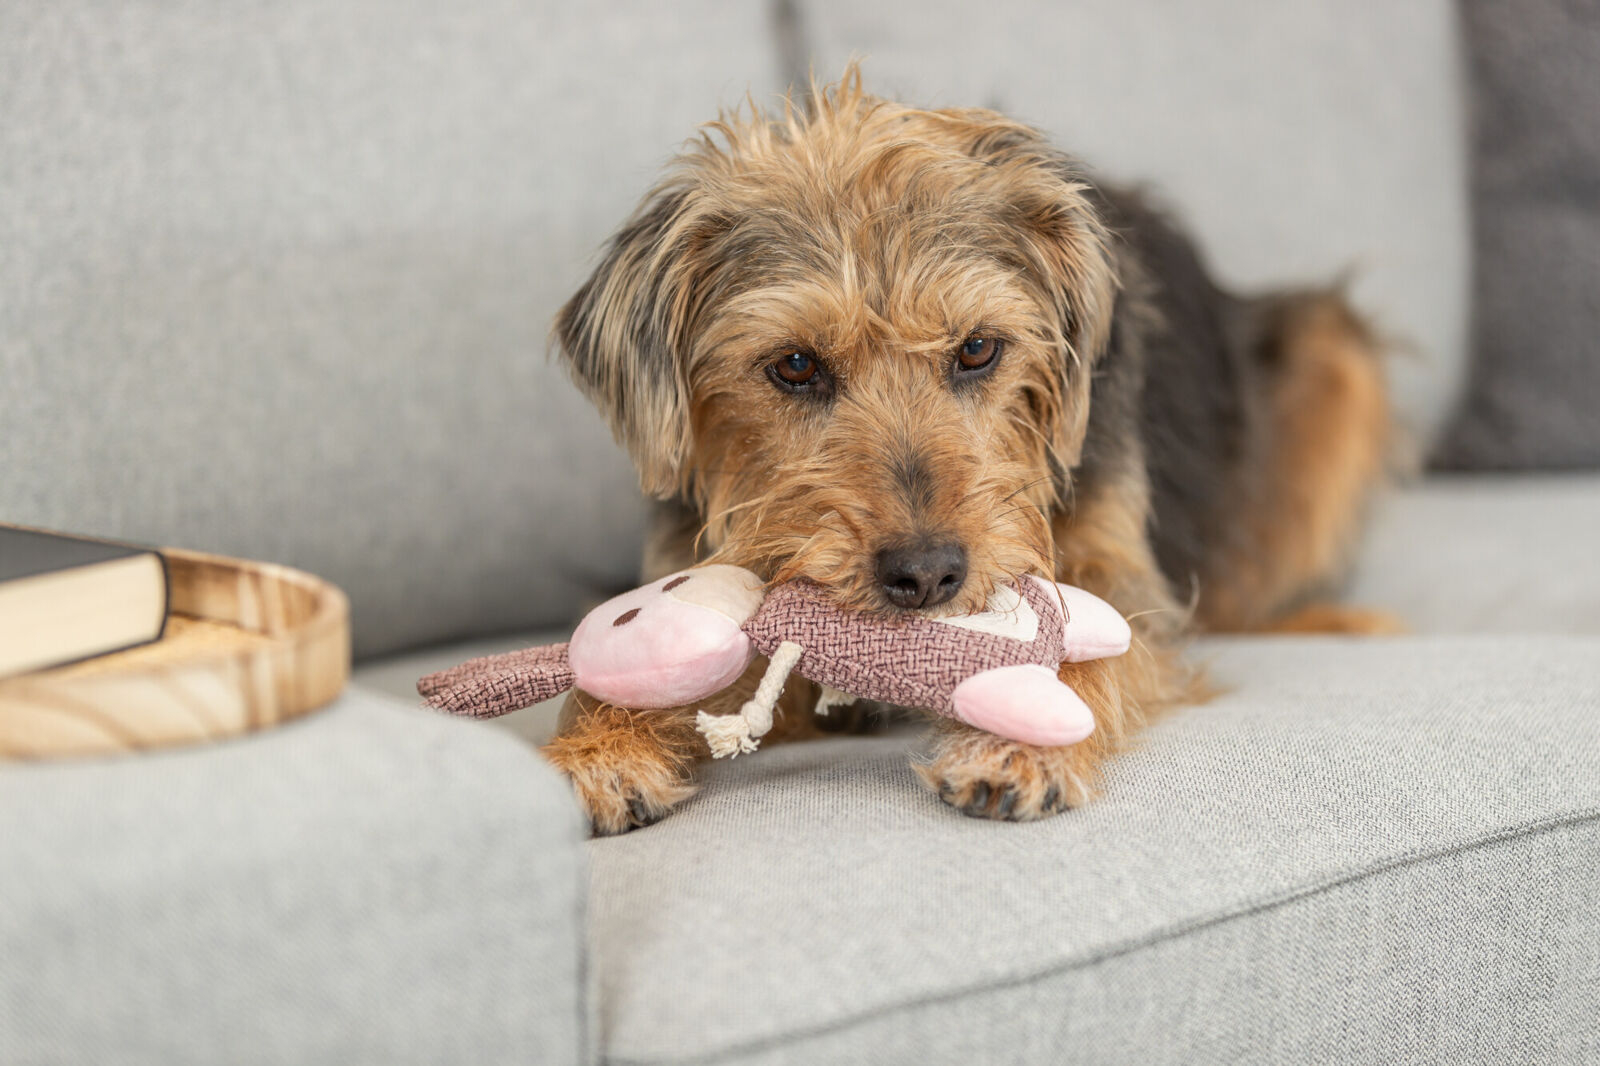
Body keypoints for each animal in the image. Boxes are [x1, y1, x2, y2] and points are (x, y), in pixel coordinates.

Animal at [537, 70, 1388, 832]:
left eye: (978, 348)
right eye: (796, 365)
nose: (926, 574)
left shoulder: (1114, 569)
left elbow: (1083, 645)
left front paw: (1020, 742)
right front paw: (594, 748)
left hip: (1333, 360)